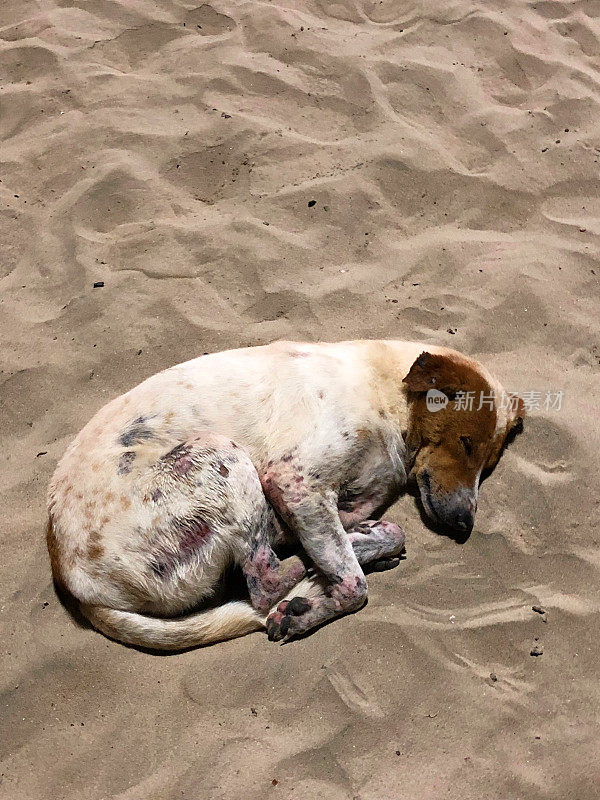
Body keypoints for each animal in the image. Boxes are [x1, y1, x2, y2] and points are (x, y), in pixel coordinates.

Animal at [48, 340, 524, 648]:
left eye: (489, 463)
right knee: (263, 585)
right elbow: (354, 587)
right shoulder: (293, 481)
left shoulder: (348, 494)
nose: (463, 524)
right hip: (221, 456)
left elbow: (357, 536)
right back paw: (307, 582)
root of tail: (77, 582)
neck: (384, 391)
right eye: (465, 443)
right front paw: (314, 604)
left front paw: (353, 545)